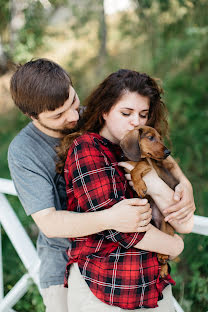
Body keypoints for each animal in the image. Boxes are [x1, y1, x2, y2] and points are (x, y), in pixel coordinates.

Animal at [120, 125, 179, 276]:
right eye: (151, 137)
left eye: (160, 138)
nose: (168, 152)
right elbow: (133, 169)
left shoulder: (146, 165)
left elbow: (136, 168)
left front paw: (140, 186)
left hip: (166, 226)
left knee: (165, 247)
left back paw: (163, 261)